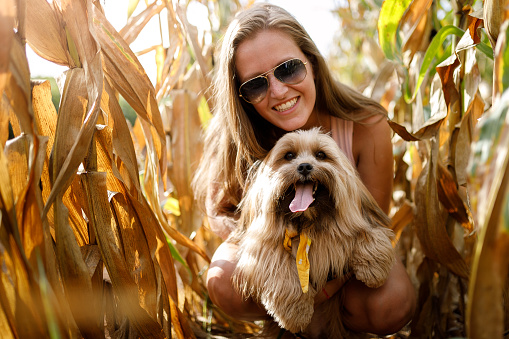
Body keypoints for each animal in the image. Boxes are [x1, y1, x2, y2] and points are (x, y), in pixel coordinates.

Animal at [228, 129, 394, 338]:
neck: (306, 222)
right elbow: (278, 266)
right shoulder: (260, 248)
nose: (305, 166)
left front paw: (373, 268)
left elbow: (367, 232)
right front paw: (296, 314)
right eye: (289, 155)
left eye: (321, 155)